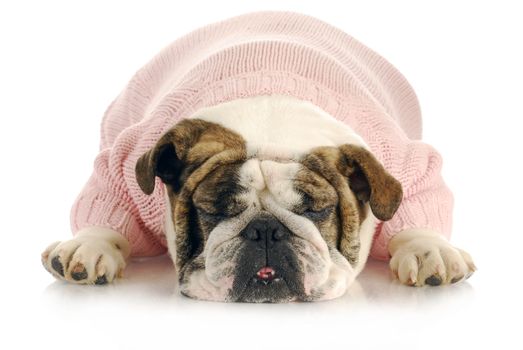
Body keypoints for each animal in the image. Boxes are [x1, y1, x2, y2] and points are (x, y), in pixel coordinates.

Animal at [40, 12, 474, 302]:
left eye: (317, 210)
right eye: (213, 210)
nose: (265, 230)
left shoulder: (401, 164)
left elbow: (416, 204)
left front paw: (428, 249)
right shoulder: (128, 165)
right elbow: (109, 200)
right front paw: (89, 245)